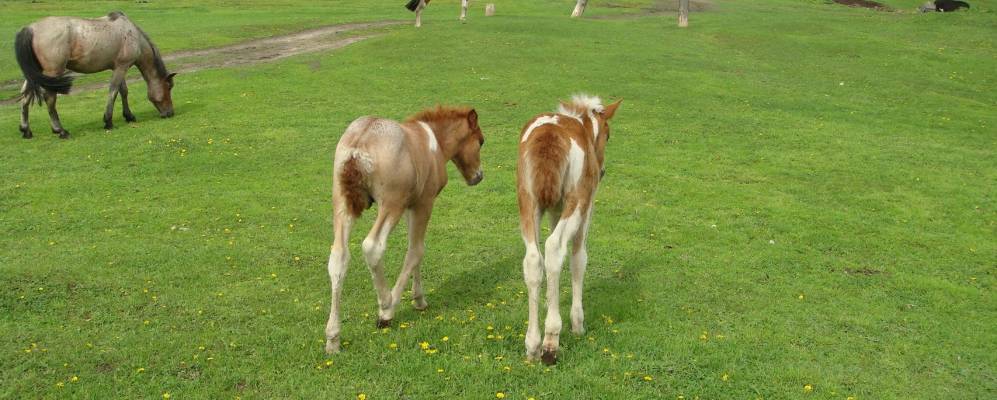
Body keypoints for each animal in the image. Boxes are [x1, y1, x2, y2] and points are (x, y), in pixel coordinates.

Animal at [13, 11, 176, 139]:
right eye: (169, 87)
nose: (170, 113)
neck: (132, 34)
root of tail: (31, 28)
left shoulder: (118, 67)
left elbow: (123, 91)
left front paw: (129, 116)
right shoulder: (122, 67)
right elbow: (113, 91)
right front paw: (108, 121)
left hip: (34, 75)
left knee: (25, 97)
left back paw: (26, 130)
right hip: (53, 72)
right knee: (50, 99)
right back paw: (60, 130)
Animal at [324, 105, 484, 354]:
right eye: (481, 141)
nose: (478, 176)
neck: (434, 141)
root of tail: (359, 143)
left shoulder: (412, 205)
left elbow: (414, 247)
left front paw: (419, 299)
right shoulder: (424, 202)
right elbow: (417, 250)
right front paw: (407, 304)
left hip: (342, 204)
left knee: (339, 256)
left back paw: (333, 338)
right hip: (391, 204)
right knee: (373, 246)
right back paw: (385, 305)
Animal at [516, 94, 620, 366]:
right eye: (608, 134)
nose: (602, 171)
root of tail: (549, 135)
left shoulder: (554, 210)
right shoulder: (587, 208)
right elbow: (578, 258)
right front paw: (577, 323)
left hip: (527, 203)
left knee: (534, 258)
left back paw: (533, 344)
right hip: (576, 202)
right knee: (554, 248)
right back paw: (550, 342)